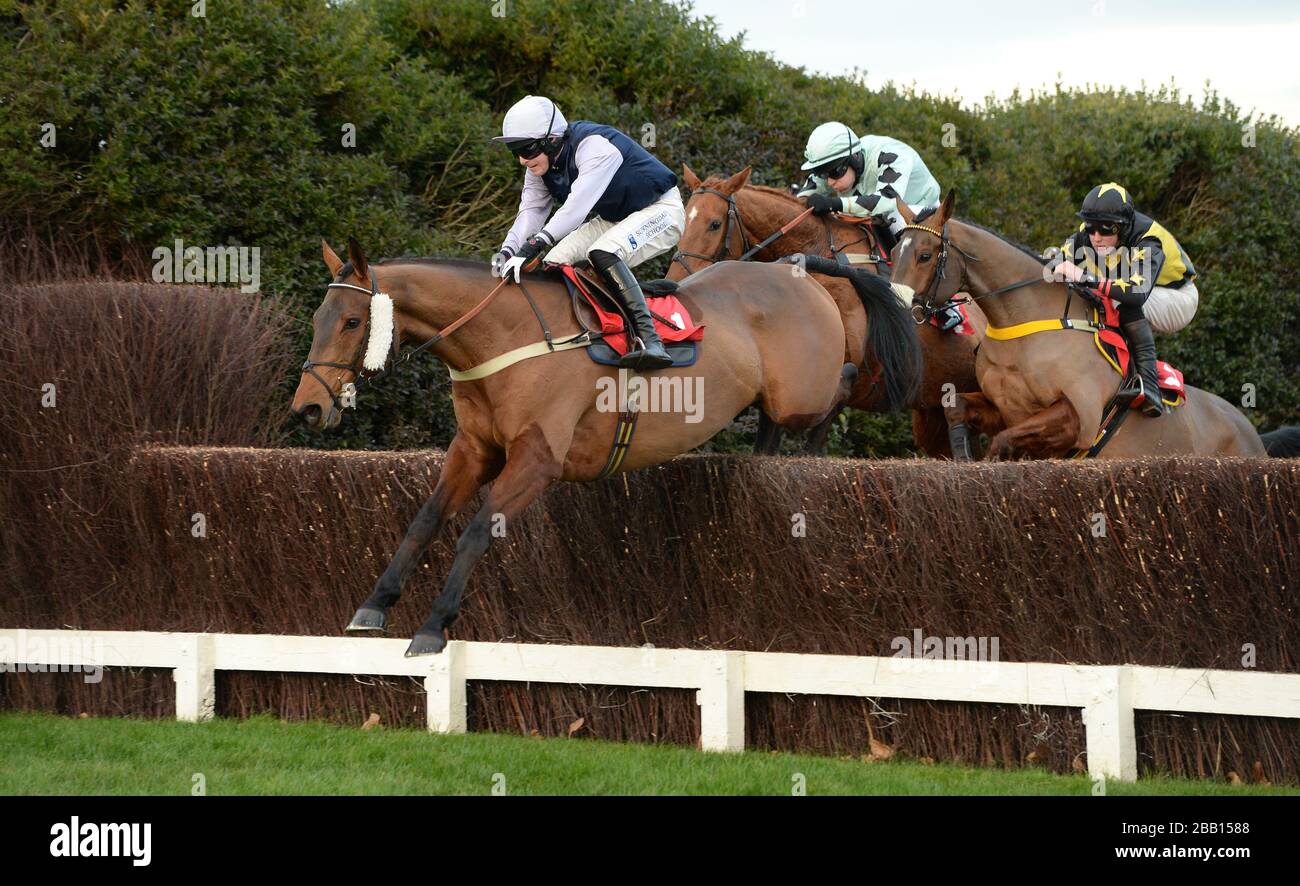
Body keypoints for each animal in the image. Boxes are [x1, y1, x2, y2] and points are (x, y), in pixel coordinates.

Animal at [889, 190, 1263, 454]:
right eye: (893, 252)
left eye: (924, 255)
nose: (897, 307)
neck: (1022, 325)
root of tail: (1251, 432)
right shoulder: (1003, 408)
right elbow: (956, 408)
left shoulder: (1076, 418)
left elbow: (1003, 443)